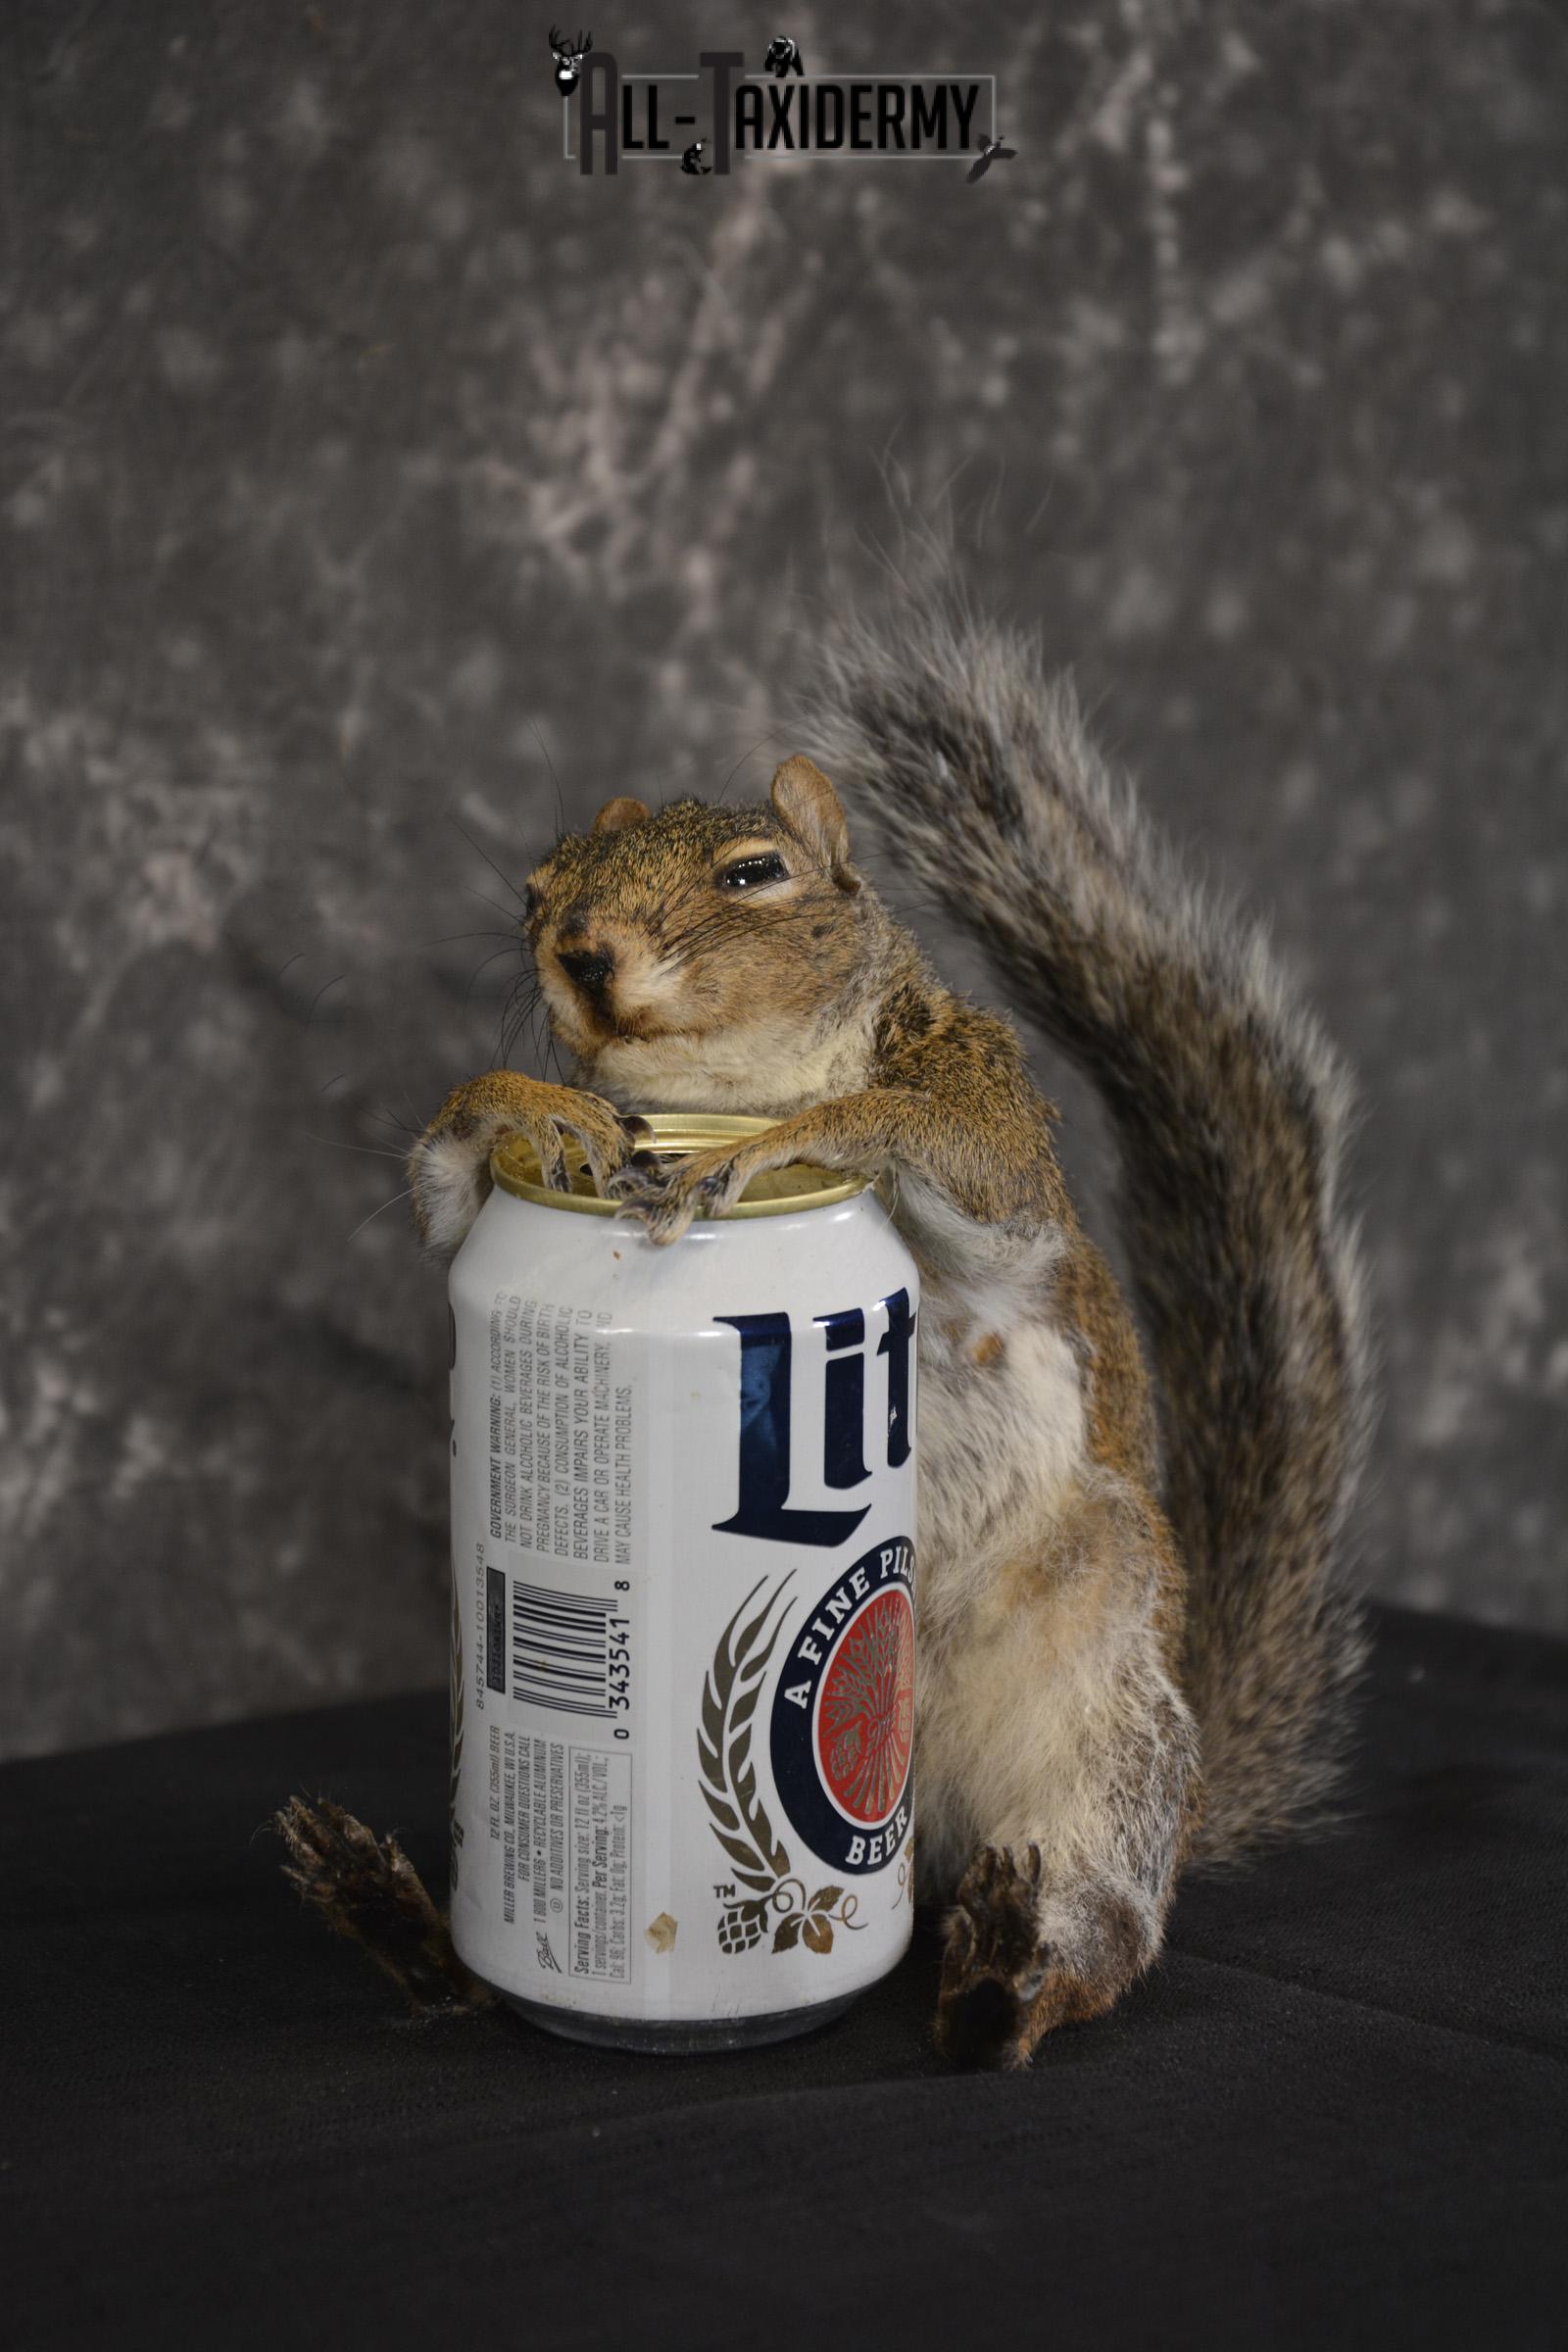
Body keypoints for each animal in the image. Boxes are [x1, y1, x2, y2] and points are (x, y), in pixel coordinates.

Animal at [286, 598, 1370, 2070]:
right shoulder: (483, 1229)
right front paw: (525, 1104)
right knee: (467, 1977)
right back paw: (396, 1920)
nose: (579, 953)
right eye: (534, 888)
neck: (728, 1080)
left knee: (1103, 1899)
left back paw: (1009, 1973)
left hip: (1099, 1691)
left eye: (757, 873)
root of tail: (938, 1835)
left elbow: (959, 1167)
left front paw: (788, 1144)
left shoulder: (988, 1119)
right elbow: (449, 1188)